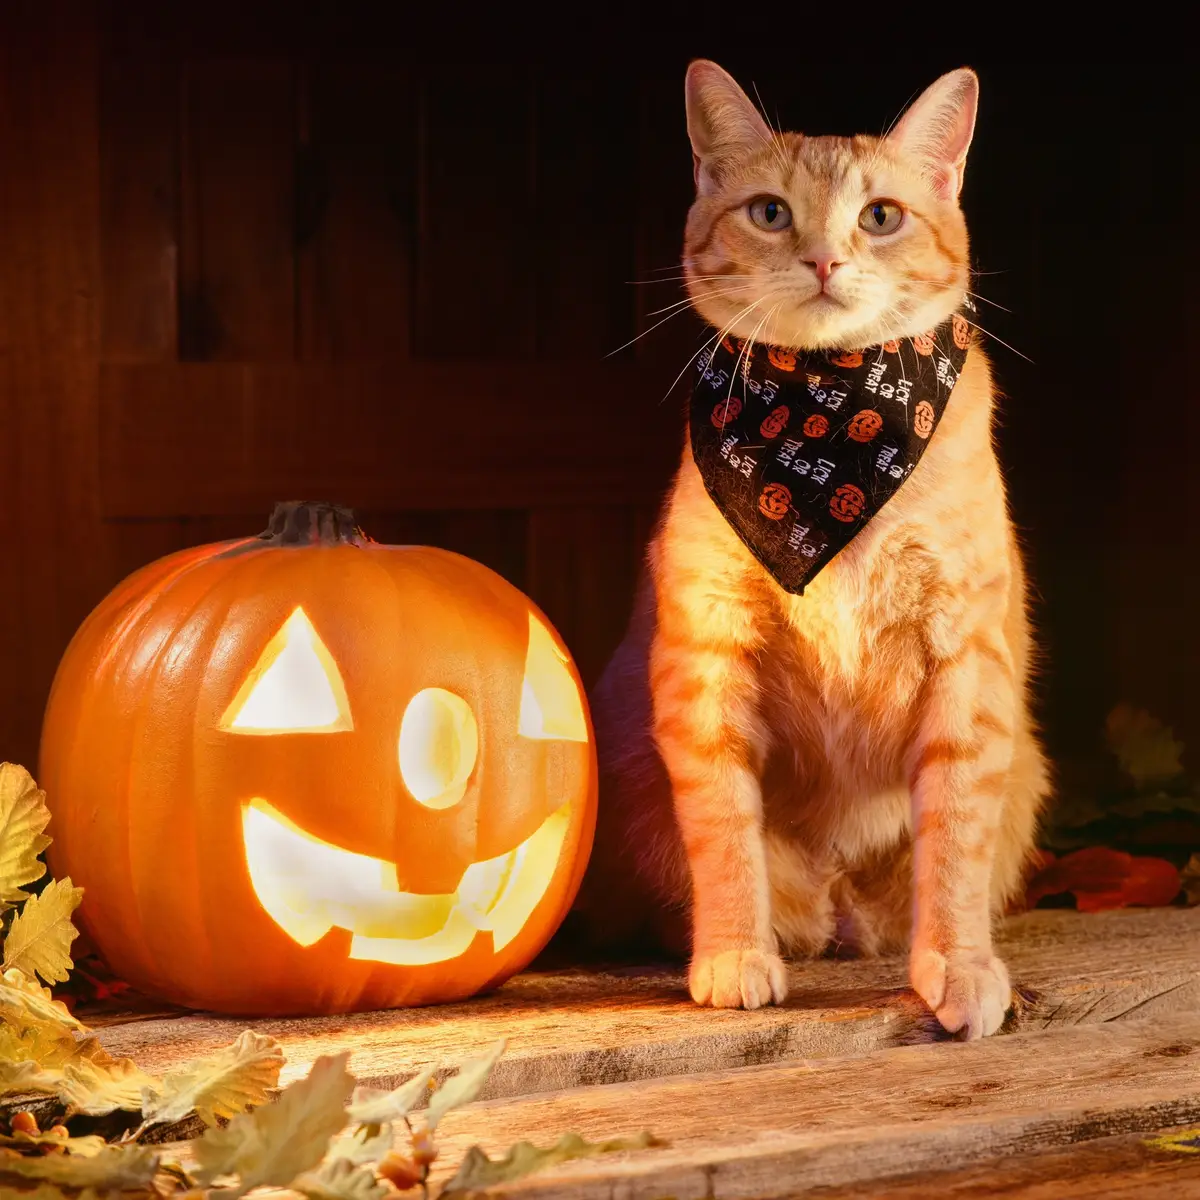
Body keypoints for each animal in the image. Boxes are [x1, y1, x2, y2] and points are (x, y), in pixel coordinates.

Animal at [578, 63, 1051, 1041]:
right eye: (770, 213)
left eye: (880, 215)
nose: (825, 259)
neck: (833, 442)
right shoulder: (706, 663)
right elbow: (724, 829)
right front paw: (734, 953)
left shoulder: (967, 667)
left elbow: (955, 840)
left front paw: (959, 964)